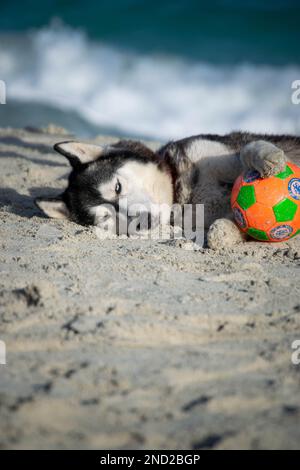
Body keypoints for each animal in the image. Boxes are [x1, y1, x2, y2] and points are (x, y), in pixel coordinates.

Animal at [35, 132, 300, 250]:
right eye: (106, 215)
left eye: (117, 187)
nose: (141, 221)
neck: (181, 192)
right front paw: (225, 231)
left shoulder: (220, 154)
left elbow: (247, 149)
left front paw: (268, 158)